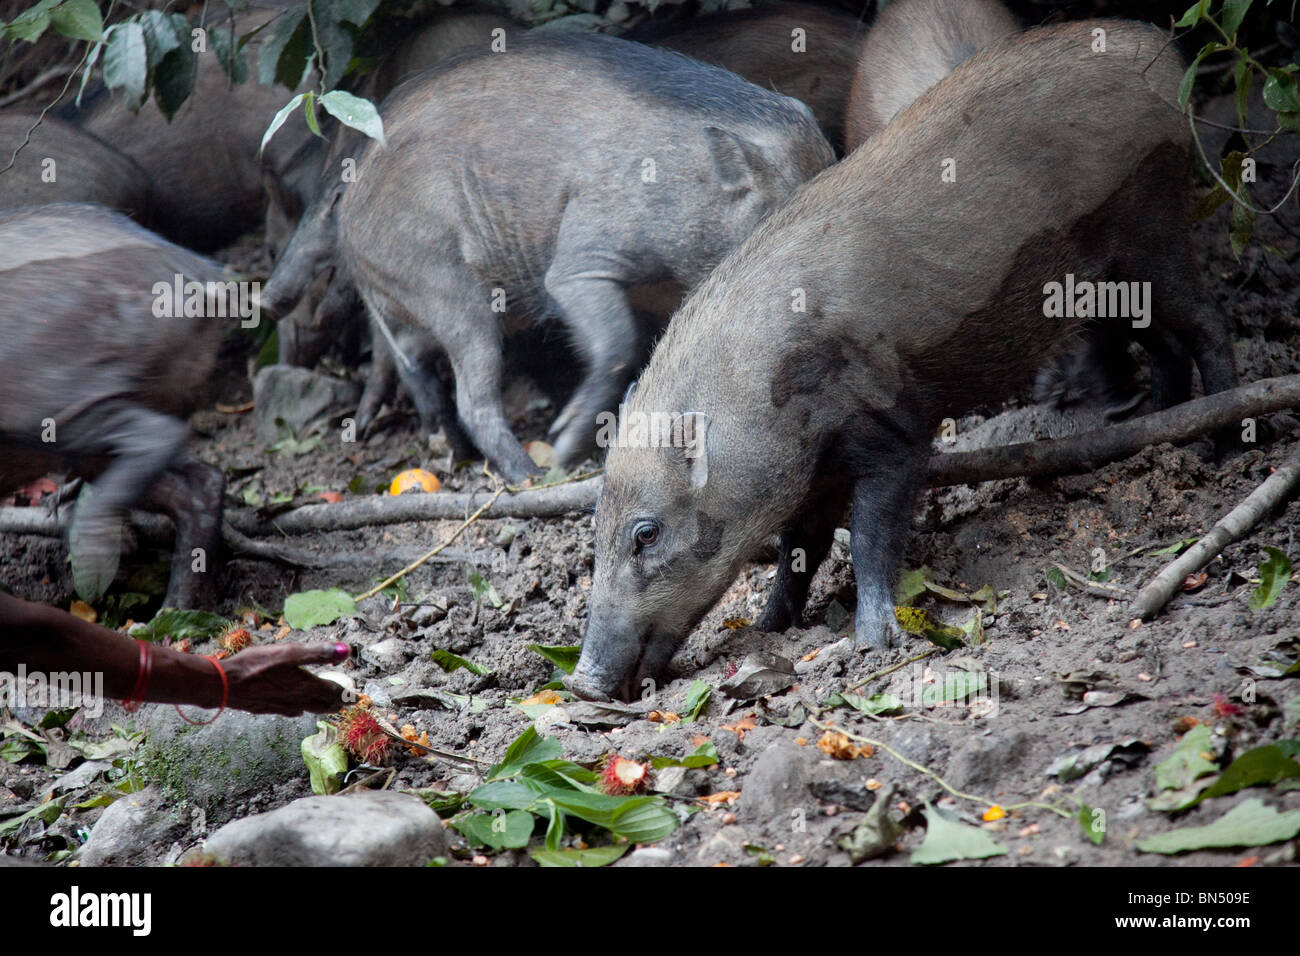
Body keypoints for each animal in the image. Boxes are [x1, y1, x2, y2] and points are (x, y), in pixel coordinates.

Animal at [0, 205, 244, 608]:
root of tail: (203, 275)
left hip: (59, 399)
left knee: (158, 438)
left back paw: (95, 555)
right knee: (199, 482)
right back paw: (174, 610)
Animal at [335, 32, 832, 481]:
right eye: (775, 220)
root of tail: (346, 216)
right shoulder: (581, 263)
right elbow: (618, 344)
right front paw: (563, 446)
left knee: (413, 364)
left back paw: (459, 455)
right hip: (445, 287)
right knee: (472, 395)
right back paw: (528, 474)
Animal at [569, 18, 1237, 697]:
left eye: (646, 533)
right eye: (595, 527)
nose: (583, 683)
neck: (764, 402)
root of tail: (1159, 52)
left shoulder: (891, 431)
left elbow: (869, 537)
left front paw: (871, 643)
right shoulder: (815, 474)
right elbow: (798, 552)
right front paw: (767, 627)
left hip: (1152, 228)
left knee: (1210, 324)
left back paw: (1224, 449)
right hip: (1106, 288)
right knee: (1164, 343)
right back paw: (1160, 432)